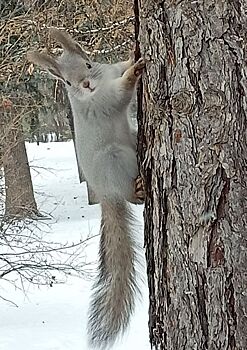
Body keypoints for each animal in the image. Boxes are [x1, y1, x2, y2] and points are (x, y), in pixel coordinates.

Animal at [27, 28, 145, 348]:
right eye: (67, 82)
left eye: (89, 64)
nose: (86, 84)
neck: (98, 87)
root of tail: (104, 194)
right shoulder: (102, 101)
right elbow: (120, 93)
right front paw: (135, 71)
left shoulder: (108, 73)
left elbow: (118, 68)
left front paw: (132, 55)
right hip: (115, 159)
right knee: (130, 195)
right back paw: (138, 191)